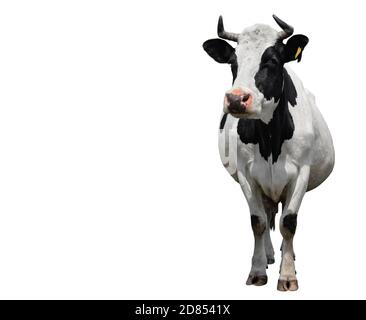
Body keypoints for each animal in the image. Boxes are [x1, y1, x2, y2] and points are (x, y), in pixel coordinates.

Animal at [203, 15, 334, 292]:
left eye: (272, 61)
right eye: (233, 63)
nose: (236, 99)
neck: (270, 140)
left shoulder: (301, 173)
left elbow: (289, 222)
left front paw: (288, 275)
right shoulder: (247, 174)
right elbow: (258, 221)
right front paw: (257, 270)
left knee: (282, 216)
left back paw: (286, 255)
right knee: (268, 213)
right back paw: (269, 256)